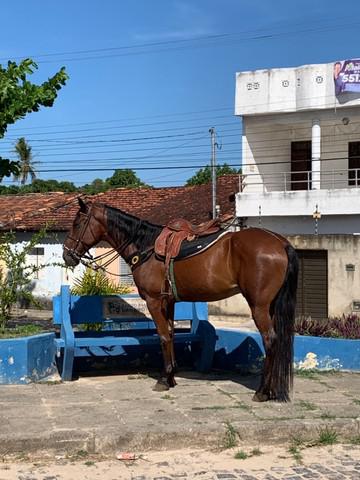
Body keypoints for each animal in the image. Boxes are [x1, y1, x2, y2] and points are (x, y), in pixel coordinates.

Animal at [62, 197, 298, 404]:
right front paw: (171, 377)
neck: (145, 246)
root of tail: (280, 243)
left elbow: (163, 336)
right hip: (272, 306)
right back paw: (272, 390)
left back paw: (262, 392)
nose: (67, 255)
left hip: (259, 306)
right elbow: (171, 334)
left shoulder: (154, 301)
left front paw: (164, 379)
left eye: (77, 223)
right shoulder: (169, 302)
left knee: (270, 340)